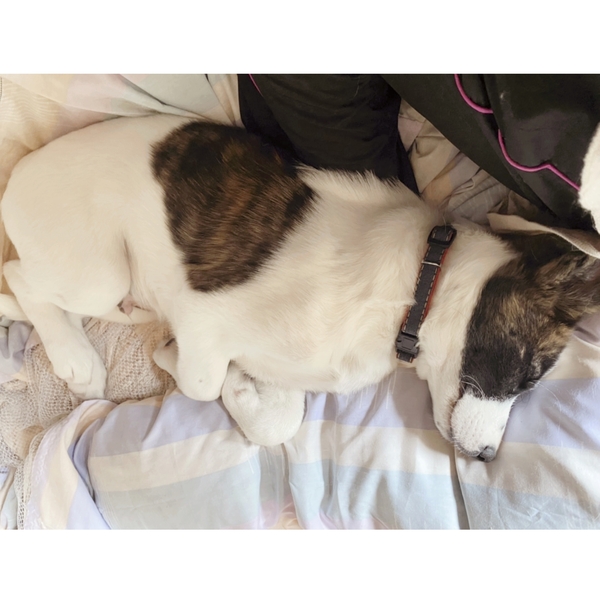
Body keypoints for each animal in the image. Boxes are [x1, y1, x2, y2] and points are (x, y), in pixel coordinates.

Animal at [2, 114, 600, 461]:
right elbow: (198, 381)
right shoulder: (203, 317)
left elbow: (277, 420)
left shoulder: (287, 365)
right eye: (527, 373)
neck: (416, 287)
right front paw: (182, 361)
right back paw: (76, 356)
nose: (487, 457)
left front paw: (242, 392)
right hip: (99, 273)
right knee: (21, 277)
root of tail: (20, 170)